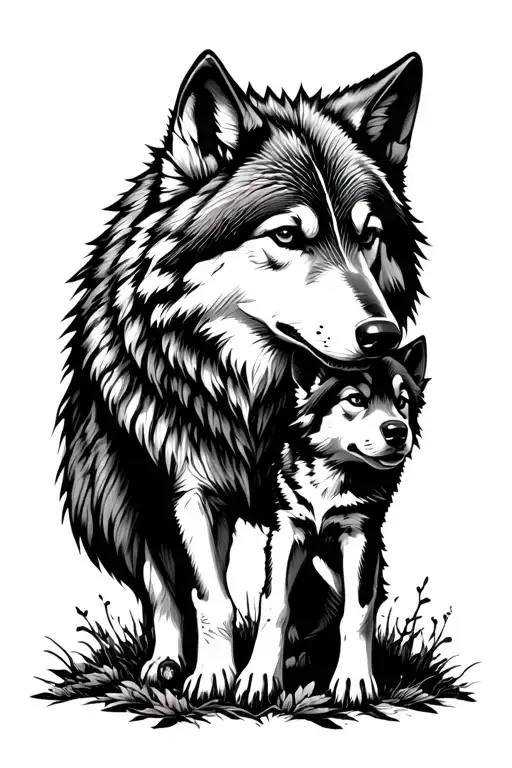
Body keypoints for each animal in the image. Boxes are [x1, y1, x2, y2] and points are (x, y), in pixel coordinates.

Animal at [235, 337, 428, 707]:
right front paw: (260, 675)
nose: (397, 431)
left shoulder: (361, 536)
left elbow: (357, 614)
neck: (331, 480)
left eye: (402, 402)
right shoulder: (285, 532)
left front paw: (353, 679)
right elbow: (274, 607)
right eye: (355, 399)